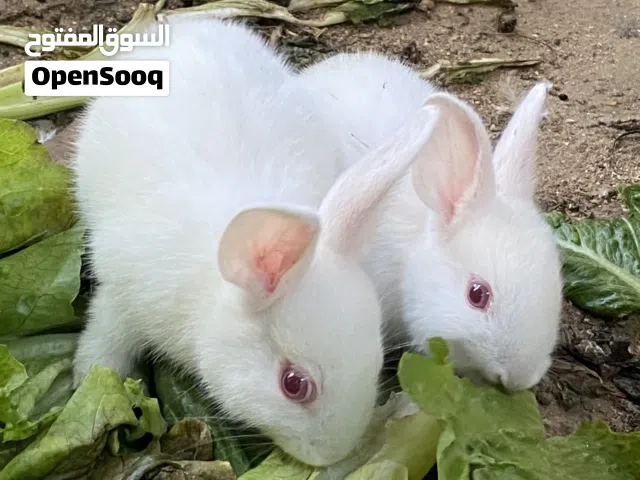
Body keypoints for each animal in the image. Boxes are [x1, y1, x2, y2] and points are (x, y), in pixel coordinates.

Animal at [69, 19, 442, 467]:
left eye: (377, 360)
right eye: (294, 384)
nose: (332, 456)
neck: (209, 298)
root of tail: (186, 25)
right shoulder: (122, 302)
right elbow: (104, 349)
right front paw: (88, 392)